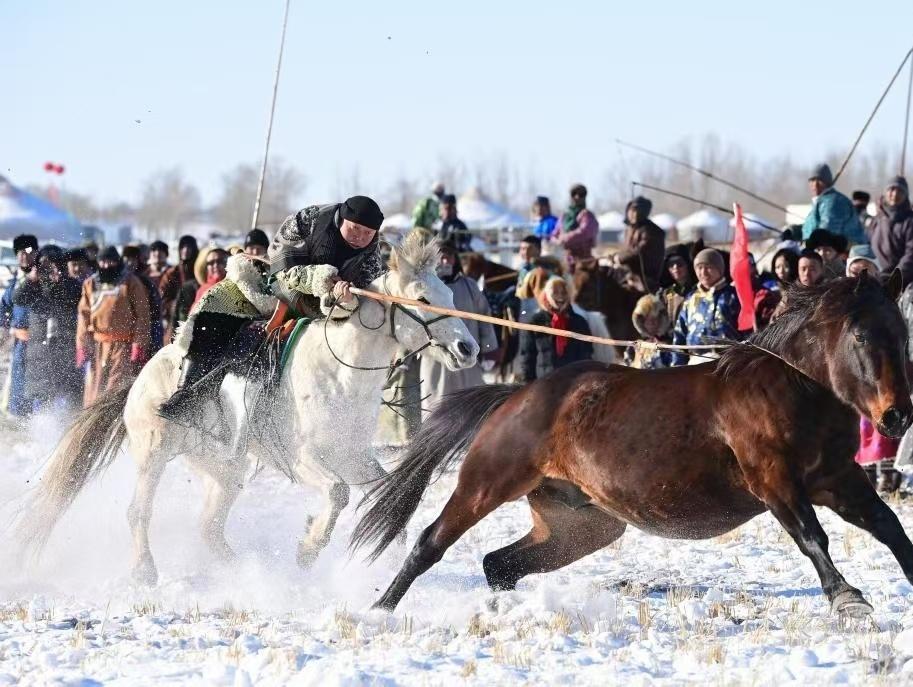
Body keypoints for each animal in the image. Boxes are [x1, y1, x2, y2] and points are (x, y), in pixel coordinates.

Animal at [21, 238, 478, 584]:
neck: (339, 371)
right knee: (139, 511)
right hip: (154, 453)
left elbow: (387, 495)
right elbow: (337, 492)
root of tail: (140, 379)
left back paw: (242, 570)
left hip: (224, 467)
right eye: (421, 298)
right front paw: (308, 548)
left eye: (450, 295)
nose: (469, 348)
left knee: (208, 526)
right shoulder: (304, 458)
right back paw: (145, 571)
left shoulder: (352, 455)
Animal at [352, 272, 912, 620]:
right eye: (861, 335)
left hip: (583, 524)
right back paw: (378, 610)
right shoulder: (775, 482)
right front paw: (848, 598)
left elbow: (888, 526)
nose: (897, 415)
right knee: (431, 542)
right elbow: (812, 536)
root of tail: (517, 396)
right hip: (486, 484)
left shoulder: (838, 479)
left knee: (499, 565)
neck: (791, 387)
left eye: (902, 330)